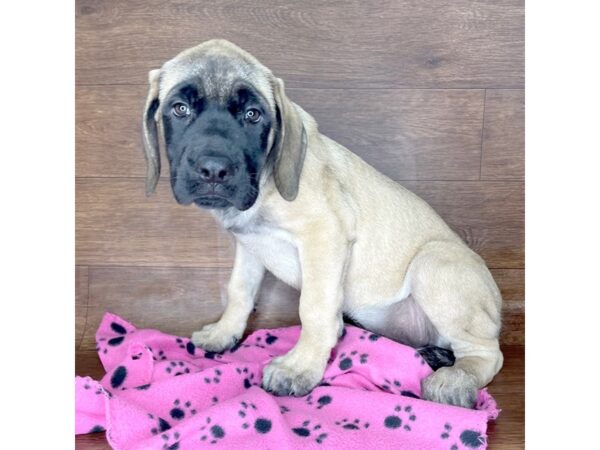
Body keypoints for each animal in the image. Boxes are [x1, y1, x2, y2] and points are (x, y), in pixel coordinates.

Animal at [143, 40, 504, 410]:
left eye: (253, 115)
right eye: (180, 109)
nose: (214, 170)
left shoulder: (324, 235)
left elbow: (314, 308)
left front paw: (299, 367)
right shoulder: (250, 247)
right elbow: (239, 291)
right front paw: (224, 333)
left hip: (433, 264)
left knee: (488, 353)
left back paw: (455, 379)